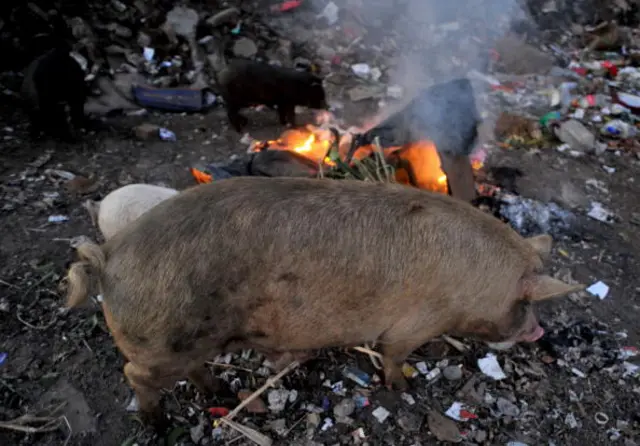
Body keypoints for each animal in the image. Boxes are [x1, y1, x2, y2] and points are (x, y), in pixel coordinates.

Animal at [65, 177, 584, 428]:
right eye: (527, 303)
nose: (539, 331)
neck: (475, 286)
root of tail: (108, 257)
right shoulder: (416, 322)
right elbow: (393, 355)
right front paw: (403, 387)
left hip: (191, 340)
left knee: (193, 370)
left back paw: (221, 395)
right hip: (161, 340)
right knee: (135, 374)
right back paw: (156, 425)